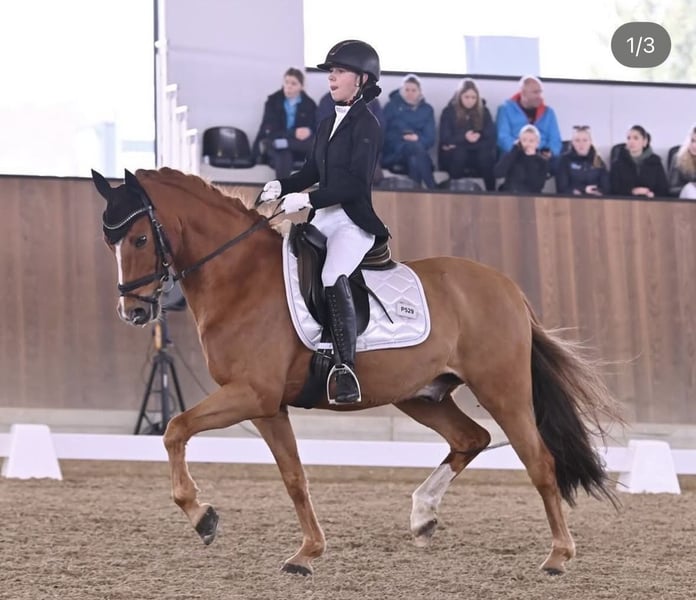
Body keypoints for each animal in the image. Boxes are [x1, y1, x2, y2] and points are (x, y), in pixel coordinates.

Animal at [91, 166, 622, 576]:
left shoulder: (251, 394)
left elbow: (175, 429)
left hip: (502, 390)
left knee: (539, 461)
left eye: (140, 237)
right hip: (420, 394)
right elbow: (294, 477)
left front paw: (202, 517)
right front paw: (306, 553)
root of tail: (508, 287)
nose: (132, 312)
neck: (240, 280)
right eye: (109, 242)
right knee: (471, 438)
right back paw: (422, 516)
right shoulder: (266, 405)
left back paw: (557, 557)